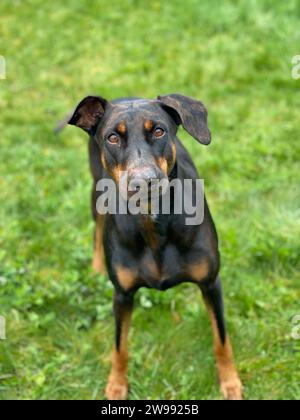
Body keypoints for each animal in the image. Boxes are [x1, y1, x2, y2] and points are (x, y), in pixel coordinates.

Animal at [67, 94, 241, 400]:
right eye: (113, 137)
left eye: (159, 131)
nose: (143, 181)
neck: (152, 220)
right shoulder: (122, 294)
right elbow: (119, 346)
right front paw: (117, 385)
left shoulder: (210, 283)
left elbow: (221, 338)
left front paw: (230, 382)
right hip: (95, 191)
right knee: (97, 228)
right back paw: (97, 266)